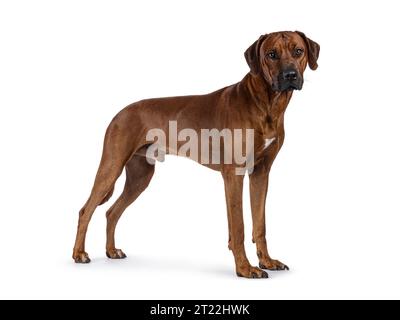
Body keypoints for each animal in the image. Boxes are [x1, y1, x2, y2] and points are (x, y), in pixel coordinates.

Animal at [73, 31, 320, 278]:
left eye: (298, 51)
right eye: (271, 54)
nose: (290, 75)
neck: (265, 102)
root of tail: (120, 113)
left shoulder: (261, 173)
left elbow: (260, 224)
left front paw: (266, 261)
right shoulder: (234, 174)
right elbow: (238, 227)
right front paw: (244, 268)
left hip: (140, 176)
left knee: (112, 212)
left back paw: (111, 250)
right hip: (111, 166)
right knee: (86, 210)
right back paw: (79, 254)